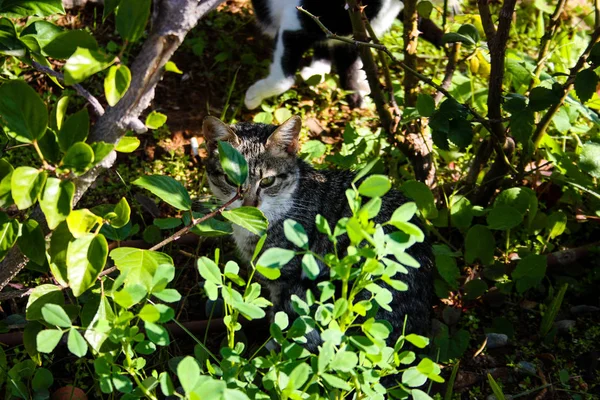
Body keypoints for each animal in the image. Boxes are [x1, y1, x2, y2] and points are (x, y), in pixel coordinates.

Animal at [204, 115, 434, 346]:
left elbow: (280, 317)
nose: (249, 203)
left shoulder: (285, 278)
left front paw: (274, 343)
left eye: (268, 181)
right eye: (230, 180)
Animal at [244, 0, 446, 109]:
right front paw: (252, 97)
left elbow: (352, 68)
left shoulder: (357, 38)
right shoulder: (296, 23)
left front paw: (357, 95)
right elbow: (282, 80)